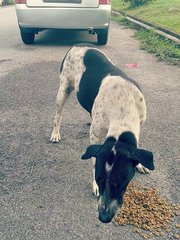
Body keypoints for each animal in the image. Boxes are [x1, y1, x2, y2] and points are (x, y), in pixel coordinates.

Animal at [50, 44, 154, 224]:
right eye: (99, 179)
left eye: (121, 183)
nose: (103, 217)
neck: (122, 110)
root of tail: (77, 44)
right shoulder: (96, 135)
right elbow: (93, 161)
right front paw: (94, 186)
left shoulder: (139, 123)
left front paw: (140, 164)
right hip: (64, 88)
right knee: (58, 114)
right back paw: (55, 133)